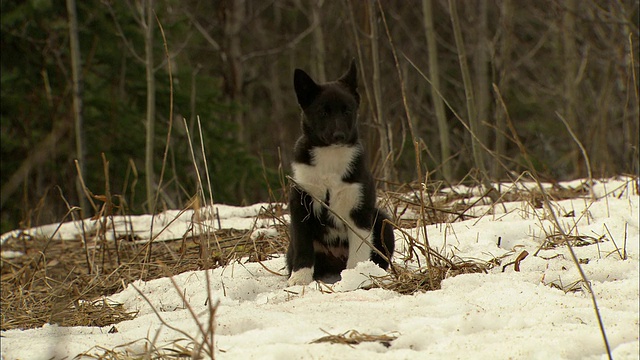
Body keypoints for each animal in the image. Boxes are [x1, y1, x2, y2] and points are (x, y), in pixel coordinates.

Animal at [286, 59, 396, 286]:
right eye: (323, 112)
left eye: (347, 111)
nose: (339, 135)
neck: (330, 157)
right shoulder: (301, 202)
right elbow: (303, 246)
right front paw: (299, 279)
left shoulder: (359, 209)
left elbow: (358, 251)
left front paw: (355, 277)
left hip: (382, 221)